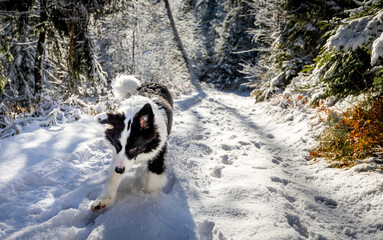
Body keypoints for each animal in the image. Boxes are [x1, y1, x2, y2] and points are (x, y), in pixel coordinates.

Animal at [89, 76, 173, 211]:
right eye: (117, 145)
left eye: (134, 148)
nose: (119, 170)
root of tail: (152, 82)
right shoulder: (117, 156)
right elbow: (112, 177)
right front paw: (102, 200)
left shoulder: (158, 153)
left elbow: (152, 181)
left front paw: (151, 200)